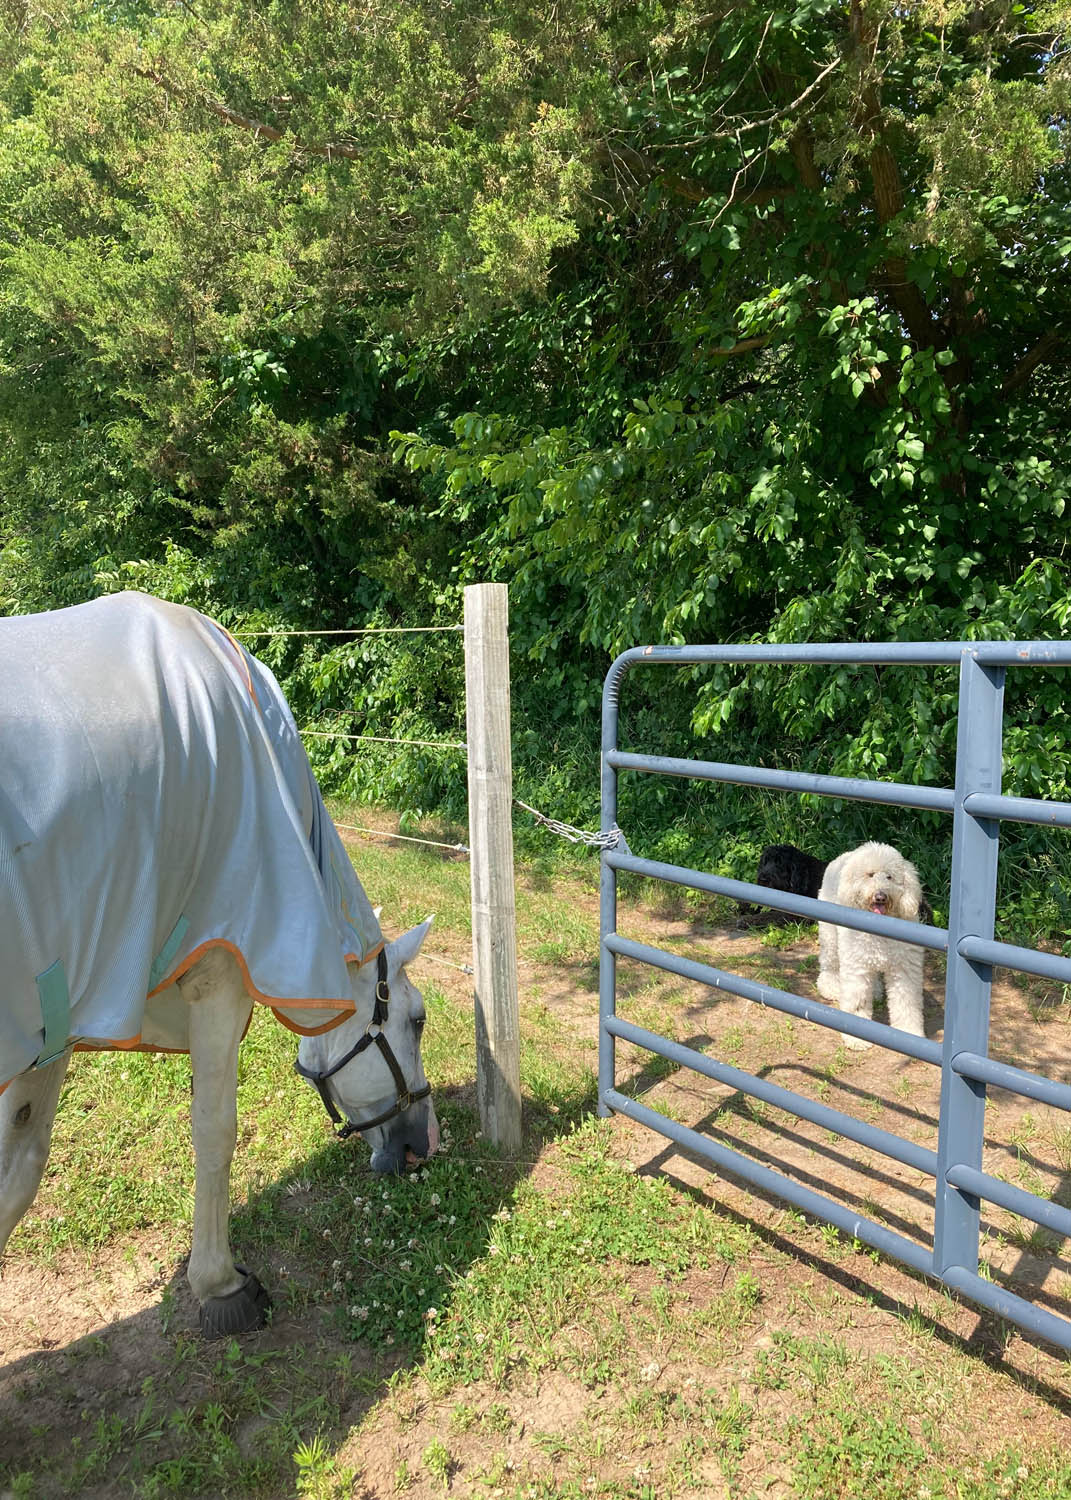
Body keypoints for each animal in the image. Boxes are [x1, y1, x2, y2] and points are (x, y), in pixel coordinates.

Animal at [0, 594, 438, 1338]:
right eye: (417, 1020)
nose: (420, 1146)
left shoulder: (52, 1026)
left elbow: (20, 1170)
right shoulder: (219, 980)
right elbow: (214, 1132)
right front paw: (219, 1284)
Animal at [816, 840, 924, 1050]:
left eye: (889, 876)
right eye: (870, 875)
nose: (880, 896)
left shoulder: (904, 970)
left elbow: (906, 1004)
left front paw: (910, 1034)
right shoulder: (856, 968)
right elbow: (858, 1001)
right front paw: (856, 1038)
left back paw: (874, 991)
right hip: (830, 936)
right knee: (829, 963)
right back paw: (830, 987)